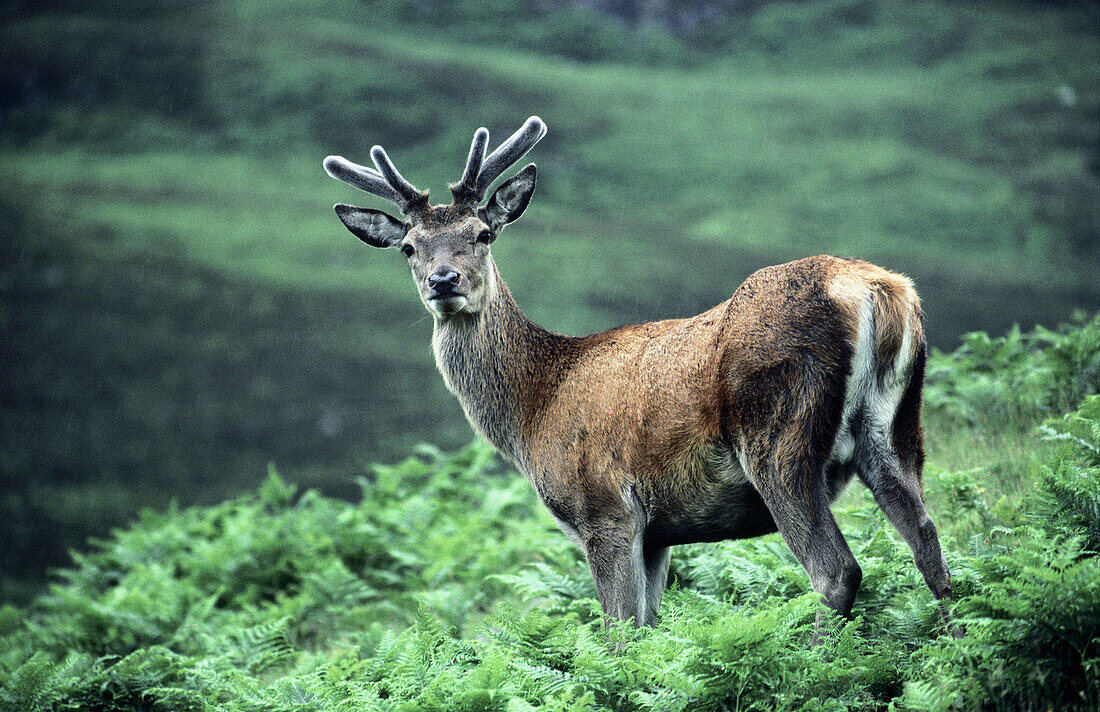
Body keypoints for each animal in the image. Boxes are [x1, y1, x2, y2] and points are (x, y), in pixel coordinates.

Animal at [323, 117, 954, 642]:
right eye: (409, 247)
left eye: (482, 233)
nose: (443, 280)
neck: (534, 407)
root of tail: (879, 290)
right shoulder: (658, 533)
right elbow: (650, 628)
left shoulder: (604, 510)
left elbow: (620, 631)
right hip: (895, 428)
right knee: (928, 541)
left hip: (780, 433)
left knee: (837, 570)